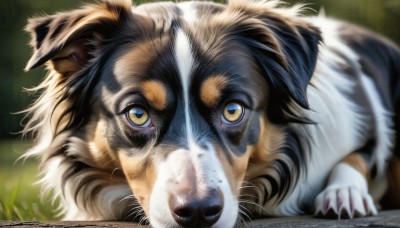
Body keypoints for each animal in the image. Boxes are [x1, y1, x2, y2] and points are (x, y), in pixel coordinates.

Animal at [23, 0, 400, 227]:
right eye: (138, 114)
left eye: (233, 110)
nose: (198, 212)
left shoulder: (371, 126)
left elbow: (360, 156)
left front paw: (344, 193)